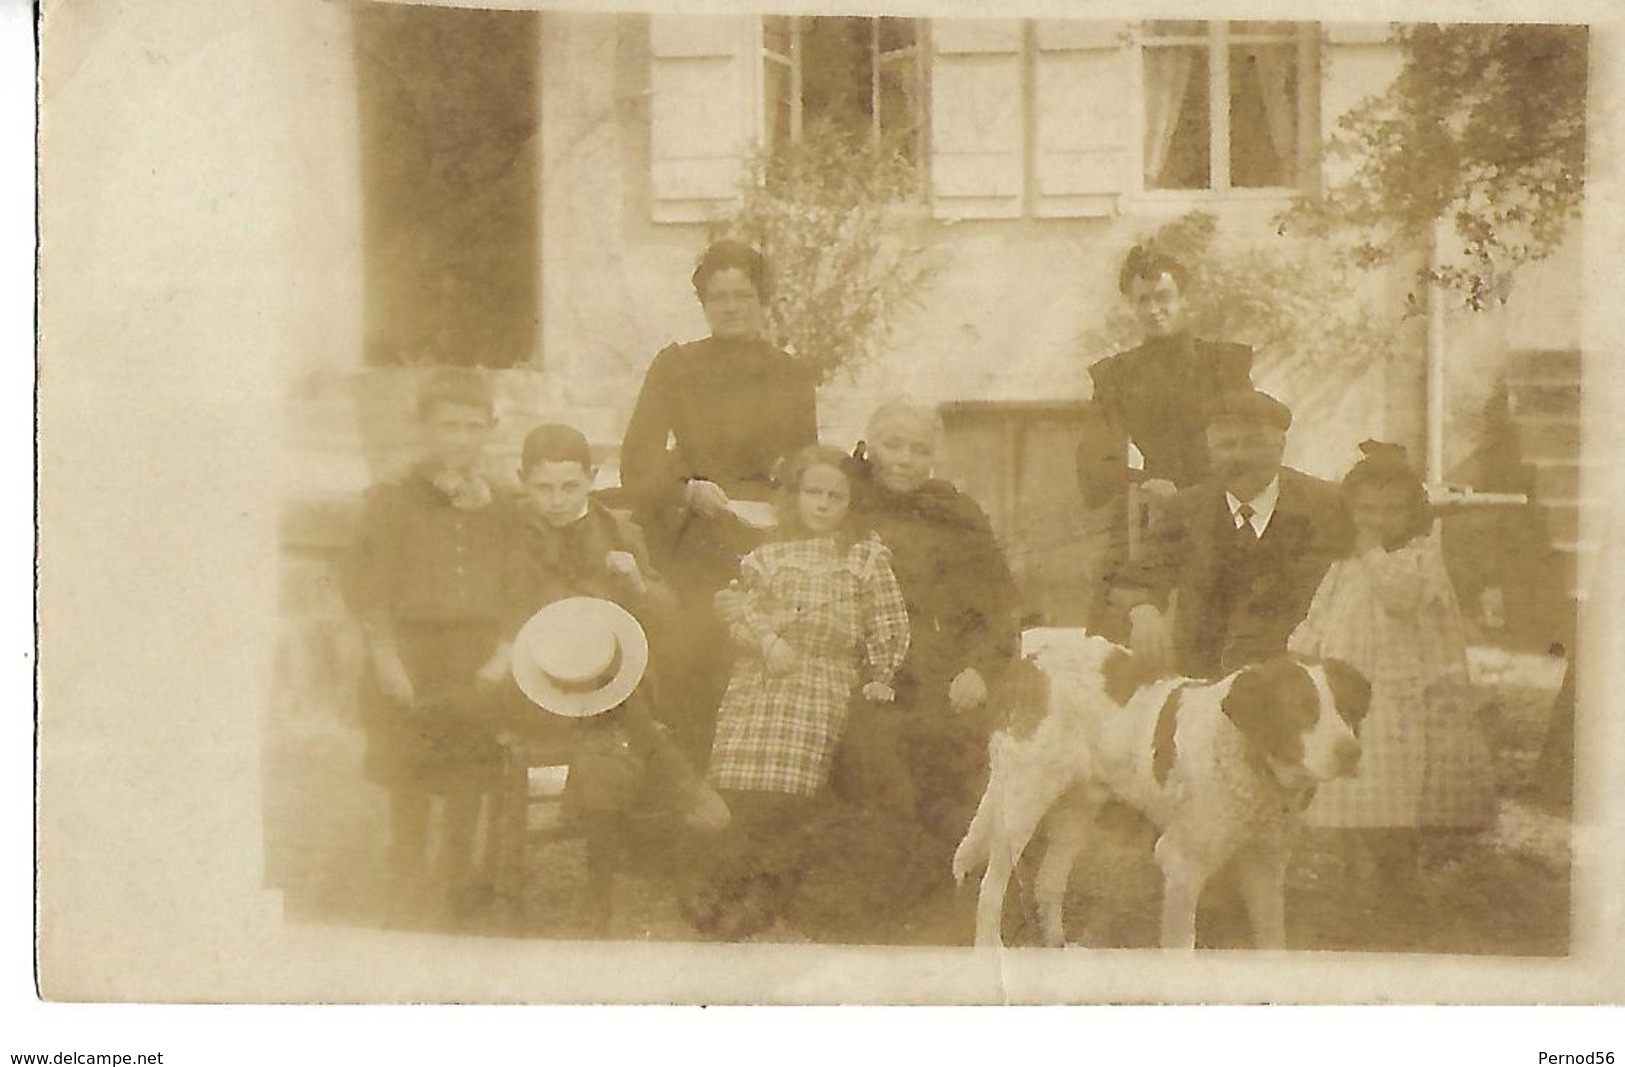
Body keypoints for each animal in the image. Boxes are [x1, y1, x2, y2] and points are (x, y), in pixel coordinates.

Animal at [949, 626, 1371, 941]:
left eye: (1347, 710)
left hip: (1077, 811)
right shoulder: (1181, 865)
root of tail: (1030, 660)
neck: (1249, 759)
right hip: (1022, 805)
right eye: (1302, 709)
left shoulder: (1264, 868)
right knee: (990, 890)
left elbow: (1273, 943)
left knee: (1048, 883)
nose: (1352, 753)